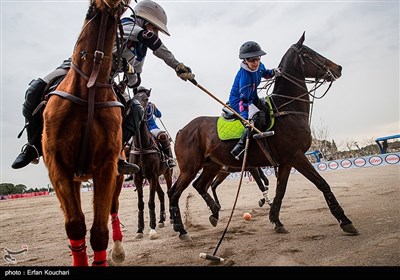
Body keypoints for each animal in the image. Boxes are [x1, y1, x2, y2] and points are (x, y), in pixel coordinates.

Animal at [41, 0, 128, 266]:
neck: (88, 89)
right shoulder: (57, 165)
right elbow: (75, 224)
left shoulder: (107, 166)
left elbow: (99, 231)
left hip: (117, 175)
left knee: (113, 207)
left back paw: (118, 250)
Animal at [128, 91, 172, 240]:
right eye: (133, 99)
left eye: (146, 99)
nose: (138, 112)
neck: (142, 146)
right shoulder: (138, 177)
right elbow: (141, 203)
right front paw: (139, 230)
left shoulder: (152, 175)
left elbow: (151, 202)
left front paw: (152, 229)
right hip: (156, 177)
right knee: (161, 194)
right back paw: (161, 220)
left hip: (166, 173)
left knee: (168, 192)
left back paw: (171, 218)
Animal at [169, 32, 360, 238]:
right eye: (310, 53)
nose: (338, 68)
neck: (287, 109)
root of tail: (181, 130)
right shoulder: (296, 156)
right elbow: (322, 183)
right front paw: (345, 221)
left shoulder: (286, 161)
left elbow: (280, 190)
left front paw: (276, 220)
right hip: (190, 167)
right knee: (174, 192)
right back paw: (180, 228)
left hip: (212, 165)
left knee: (200, 185)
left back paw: (214, 212)